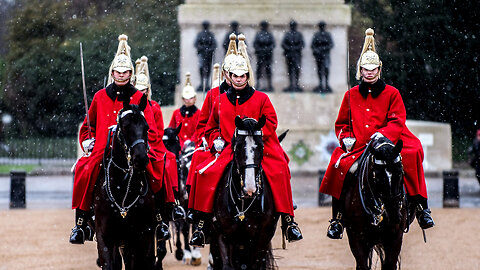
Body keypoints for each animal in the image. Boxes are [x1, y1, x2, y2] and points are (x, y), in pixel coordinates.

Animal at [92, 95, 156, 270]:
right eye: (125, 127)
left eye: (147, 128)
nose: (141, 159)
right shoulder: (105, 237)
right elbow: (109, 264)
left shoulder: (137, 237)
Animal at [162, 125, 202, 264]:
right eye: (164, 145)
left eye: (178, 146)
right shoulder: (182, 204)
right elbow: (183, 228)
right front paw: (187, 253)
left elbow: (194, 225)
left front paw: (195, 253)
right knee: (179, 225)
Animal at [209, 115, 278, 270]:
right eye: (239, 146)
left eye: (261, 146)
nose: (250, 189)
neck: (243, 204)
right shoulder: (222, 236)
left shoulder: (261, 238)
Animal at [342, 138, 416, 268]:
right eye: (377, 176)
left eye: (400, 173)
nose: (394, 215)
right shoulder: (357, 238)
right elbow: (362, 265)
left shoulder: (395, 238)